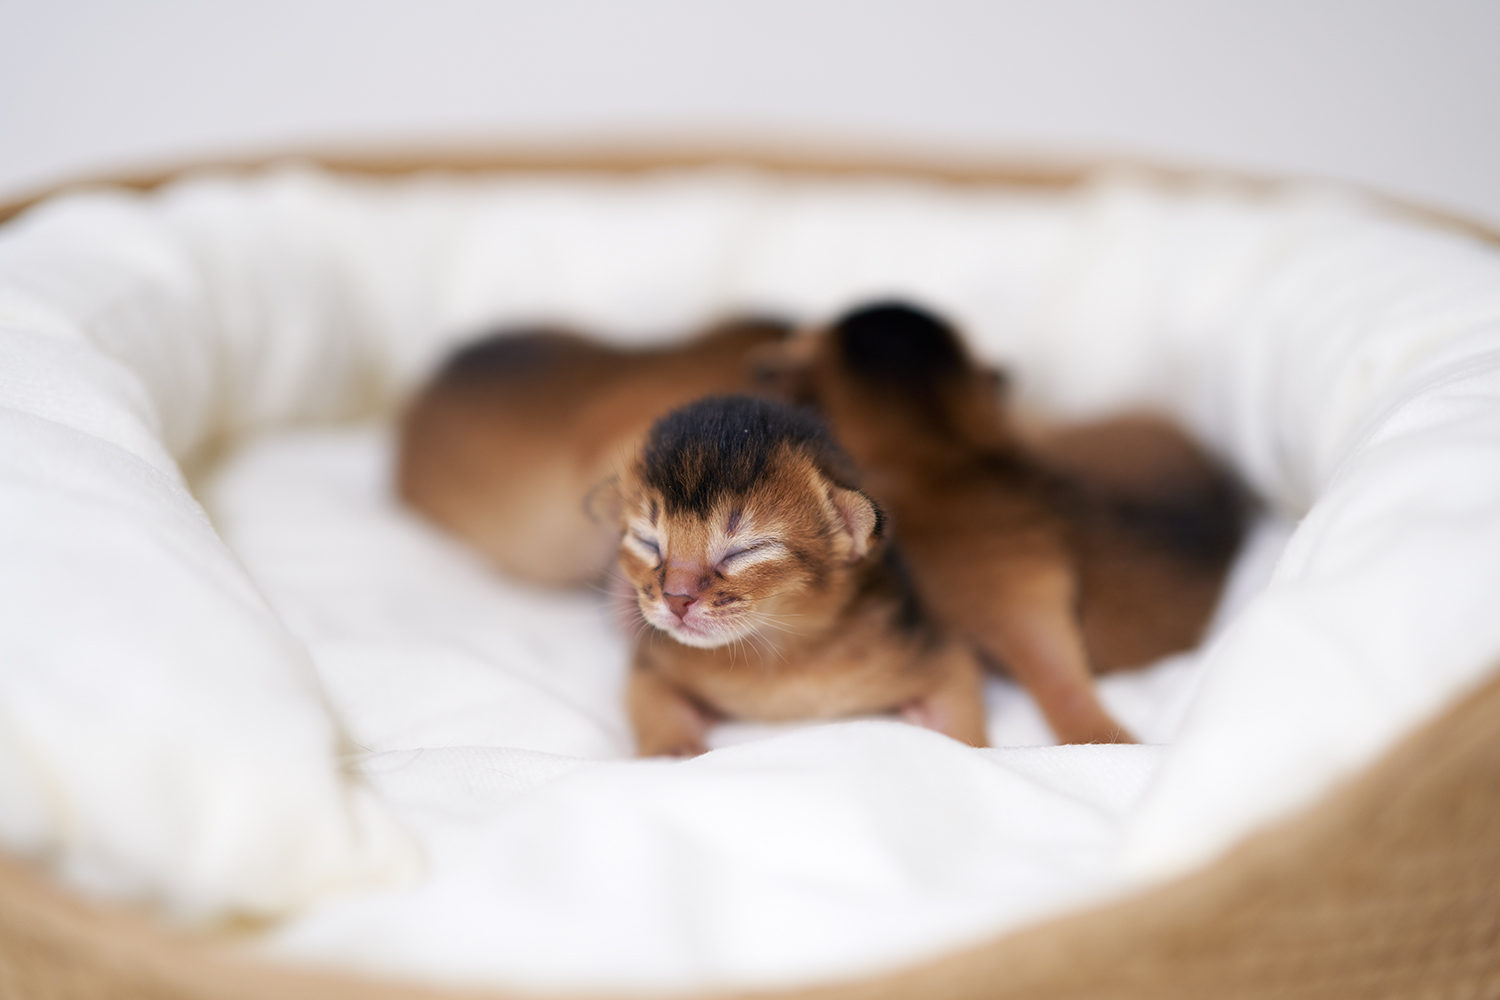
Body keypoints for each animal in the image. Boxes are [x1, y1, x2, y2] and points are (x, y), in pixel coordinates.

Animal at [603, 395, 988, 756]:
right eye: (647, 542)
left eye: (746, 551)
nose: (676, 598)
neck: (780, 656)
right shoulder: (655, 661)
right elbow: (651, 700)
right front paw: (673, 749)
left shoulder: (925, 648)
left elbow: (963, 713)